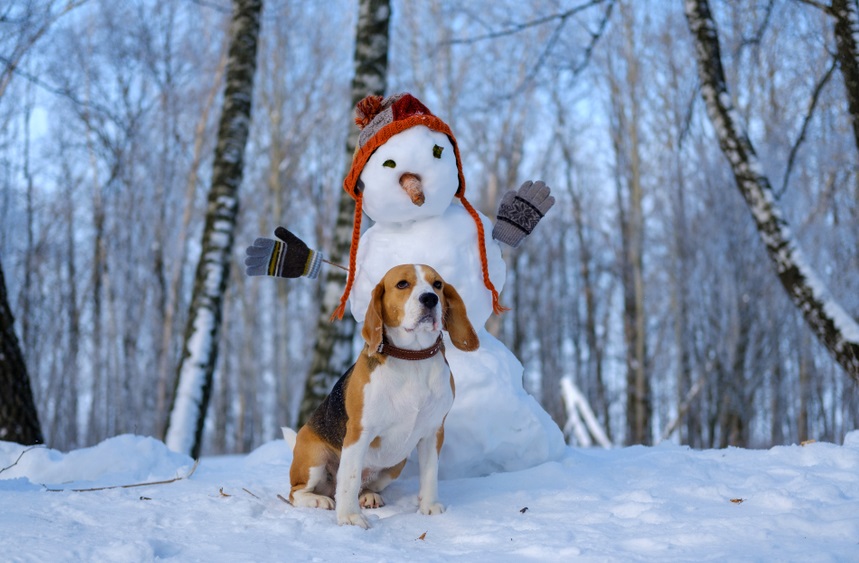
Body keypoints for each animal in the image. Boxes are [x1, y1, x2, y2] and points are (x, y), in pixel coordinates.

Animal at [288, 264, 478, 528]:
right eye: (402, 284)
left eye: (438, 284)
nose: (430, 298)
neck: (412, 358)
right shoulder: (359, 432)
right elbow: (349, 478)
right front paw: (350, 517)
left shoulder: (433, 431)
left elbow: (430, 473)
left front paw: (429, 507)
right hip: (313, 458)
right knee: (297, 492)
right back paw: (318, 500)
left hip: (395, 465)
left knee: (362, 485)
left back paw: (368, 496)